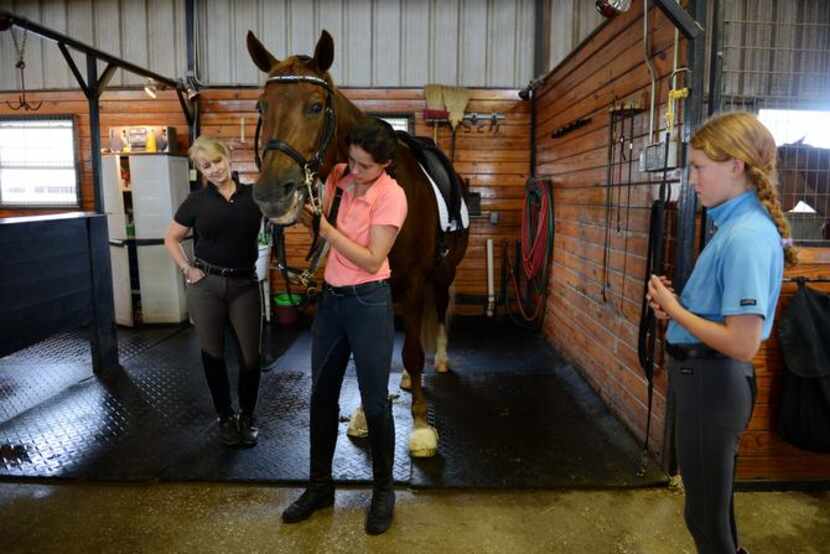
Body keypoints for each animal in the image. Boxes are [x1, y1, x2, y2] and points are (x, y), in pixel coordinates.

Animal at [247, 28, 468, 454]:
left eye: (316, 106)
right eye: (262, 105)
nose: (270, 194)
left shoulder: (414, 284)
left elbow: (412, 352)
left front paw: (420, 425)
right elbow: (370, 354)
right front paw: (367, 413)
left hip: (443, 274)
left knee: (438, 310)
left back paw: (441, 360)